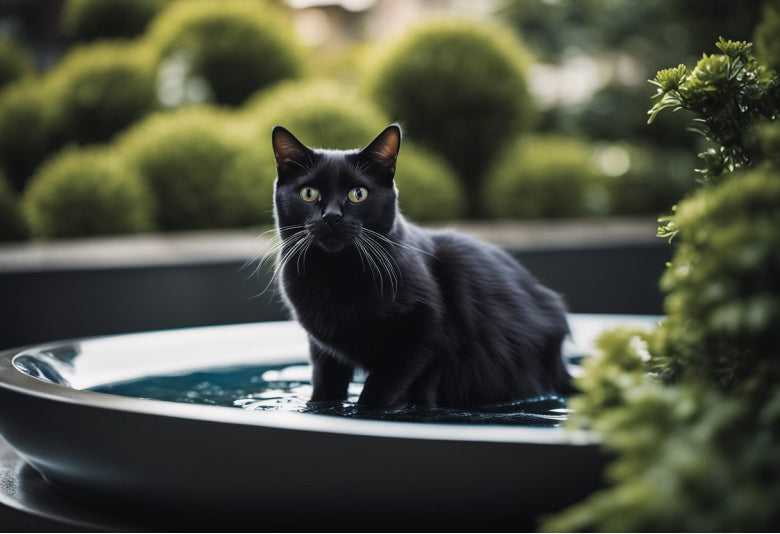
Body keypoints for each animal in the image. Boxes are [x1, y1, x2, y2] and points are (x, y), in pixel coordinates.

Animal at [272, 125, 568, 410]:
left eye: (358, 194)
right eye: (309, 193)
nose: (332, 216)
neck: (336, 274)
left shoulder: (422, 336)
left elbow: (380, 391)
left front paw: (366, 411)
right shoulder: (324, 352)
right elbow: (325, 389)